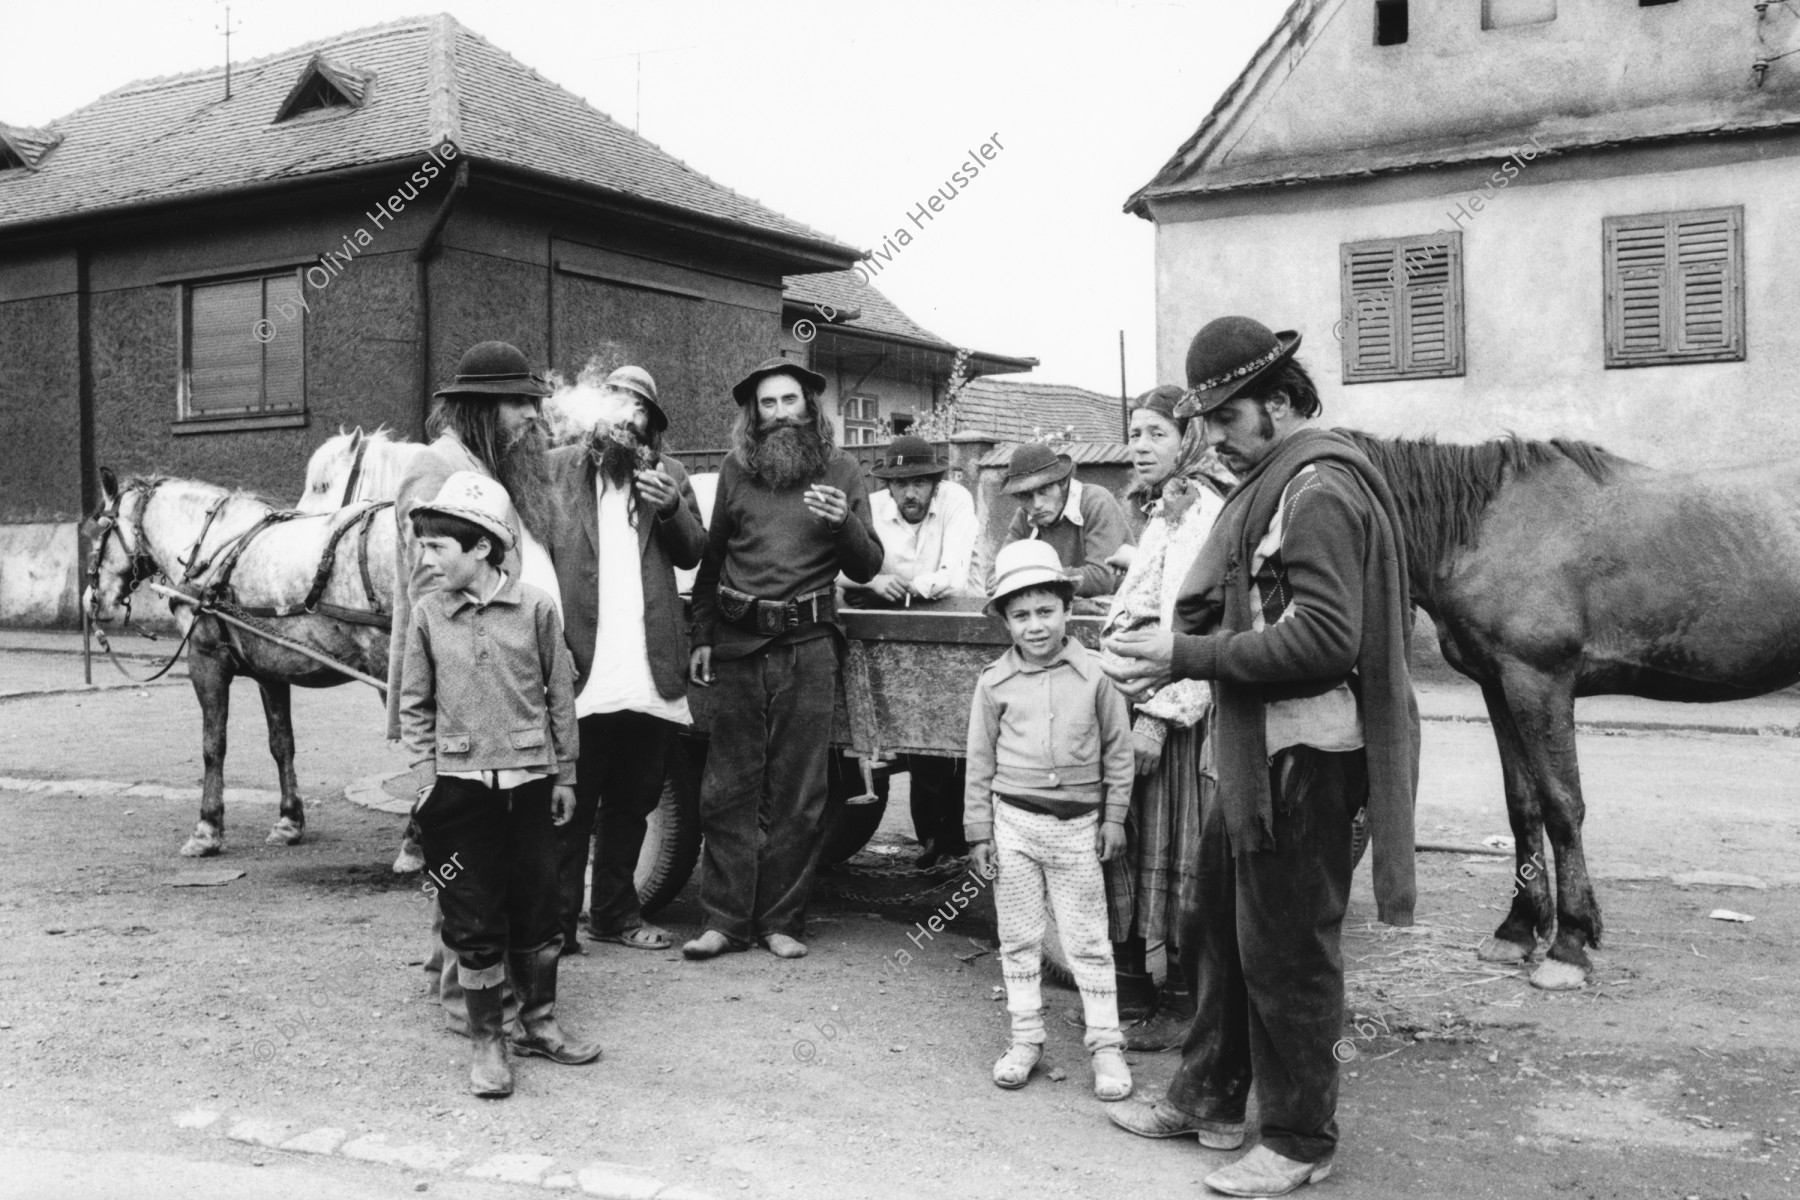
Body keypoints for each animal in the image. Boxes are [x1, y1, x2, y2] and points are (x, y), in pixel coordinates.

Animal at [84, 467, 394, 852]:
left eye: (100, 529)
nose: (90, 600)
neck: (214, 547)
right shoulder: (271, 672)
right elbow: (282, 744)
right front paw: (289, 820)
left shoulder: (206, 660)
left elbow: (213, 745)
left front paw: (207, 828)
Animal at [1346, 426, 1800, 993]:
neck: (1490, 528)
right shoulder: (1500, 686)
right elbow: (1523, 806)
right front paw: (1517, 930)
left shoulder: (1540, 683)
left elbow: (1563, 807)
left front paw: (1569, 946)